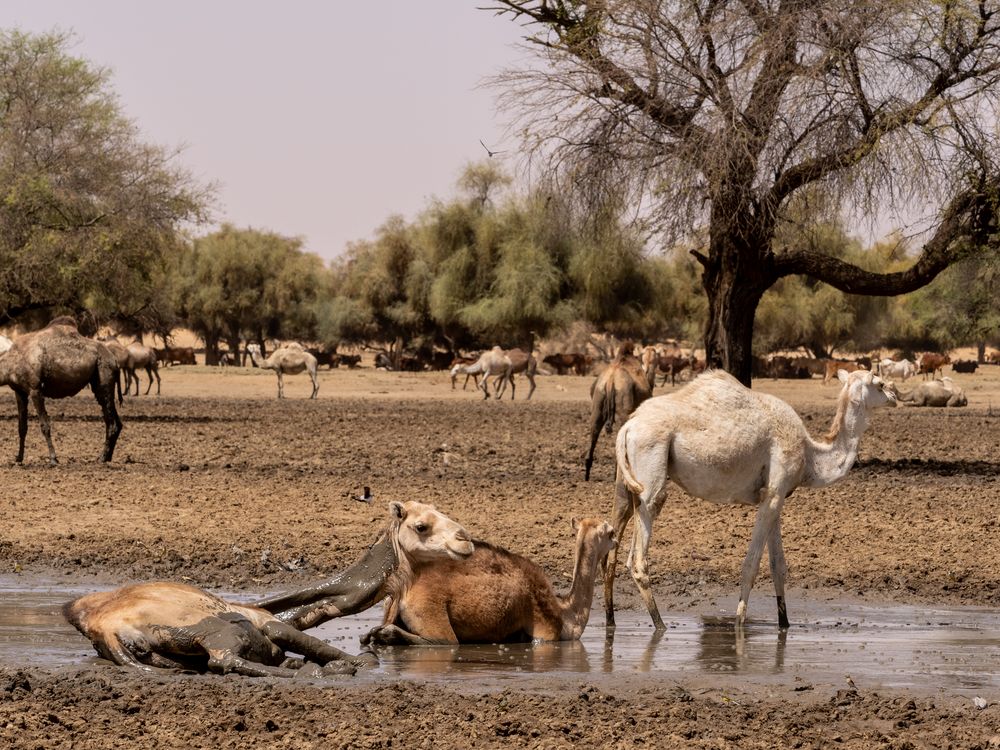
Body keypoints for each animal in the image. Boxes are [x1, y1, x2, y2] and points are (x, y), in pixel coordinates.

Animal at [0, 316, 122, 464]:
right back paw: (106, 457)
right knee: (115, 422)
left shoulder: (35, 390)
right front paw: (19, 458)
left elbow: (45, 425)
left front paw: (53, 459)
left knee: (111, 421)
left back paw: (102, 457)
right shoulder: (20, 391)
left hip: (104, 377)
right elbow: (22, 427)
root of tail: (115, 361)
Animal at [65, 502, 472, 680]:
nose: (465, 539)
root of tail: (106, 630)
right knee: (223, 659)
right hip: (217, 628)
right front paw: (351, 662)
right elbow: (314, 644)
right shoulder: (264, 625)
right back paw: (318, 670)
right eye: (421, 525)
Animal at [356, 516, 612, 648]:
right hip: (432, 616)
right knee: (443, 641)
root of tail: (401, 591)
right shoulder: (544, 634)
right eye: (610, 533)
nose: (617, 539)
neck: (566, 614)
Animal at [608, 370, 900, 636]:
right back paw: (660, 625)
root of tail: (628, 427)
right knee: (639, 553)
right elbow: (751, 564)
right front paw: (739, 624)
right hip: (651, 467)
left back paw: (611, 619)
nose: (896, 395)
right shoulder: (773, 493)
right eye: (879, 383)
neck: (810, 456)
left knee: (613, 544)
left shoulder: (776, 495)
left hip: (625, 483)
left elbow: (778, 565)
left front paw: (785, 624)